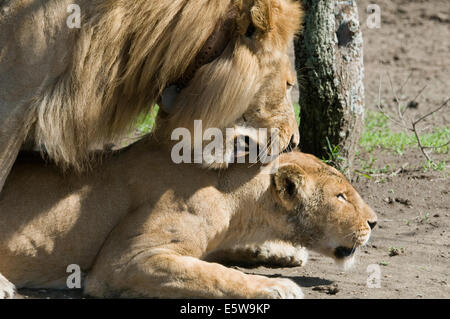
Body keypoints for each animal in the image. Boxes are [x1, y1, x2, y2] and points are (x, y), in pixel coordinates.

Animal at [0, 144, 376, 298]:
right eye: (341, 196)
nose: (374, 223)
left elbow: (220, 256)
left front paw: (283, 253)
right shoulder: (124, 262)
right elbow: (214, 274)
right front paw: (277, 286)